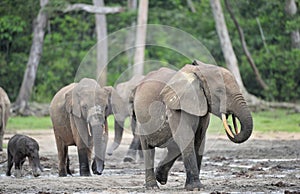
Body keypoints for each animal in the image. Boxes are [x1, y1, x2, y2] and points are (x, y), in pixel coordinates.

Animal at [134, 59, 253, 190]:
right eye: (220, 91)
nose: (231, 126)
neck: (198, 73)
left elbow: (199, 139)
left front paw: (196, 186)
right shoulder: (177, 107)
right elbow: (186, 136)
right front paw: (196, 187)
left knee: (174, 147)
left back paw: (161, 178)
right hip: (141, 121)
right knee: (148, 148)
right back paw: (152, 186)